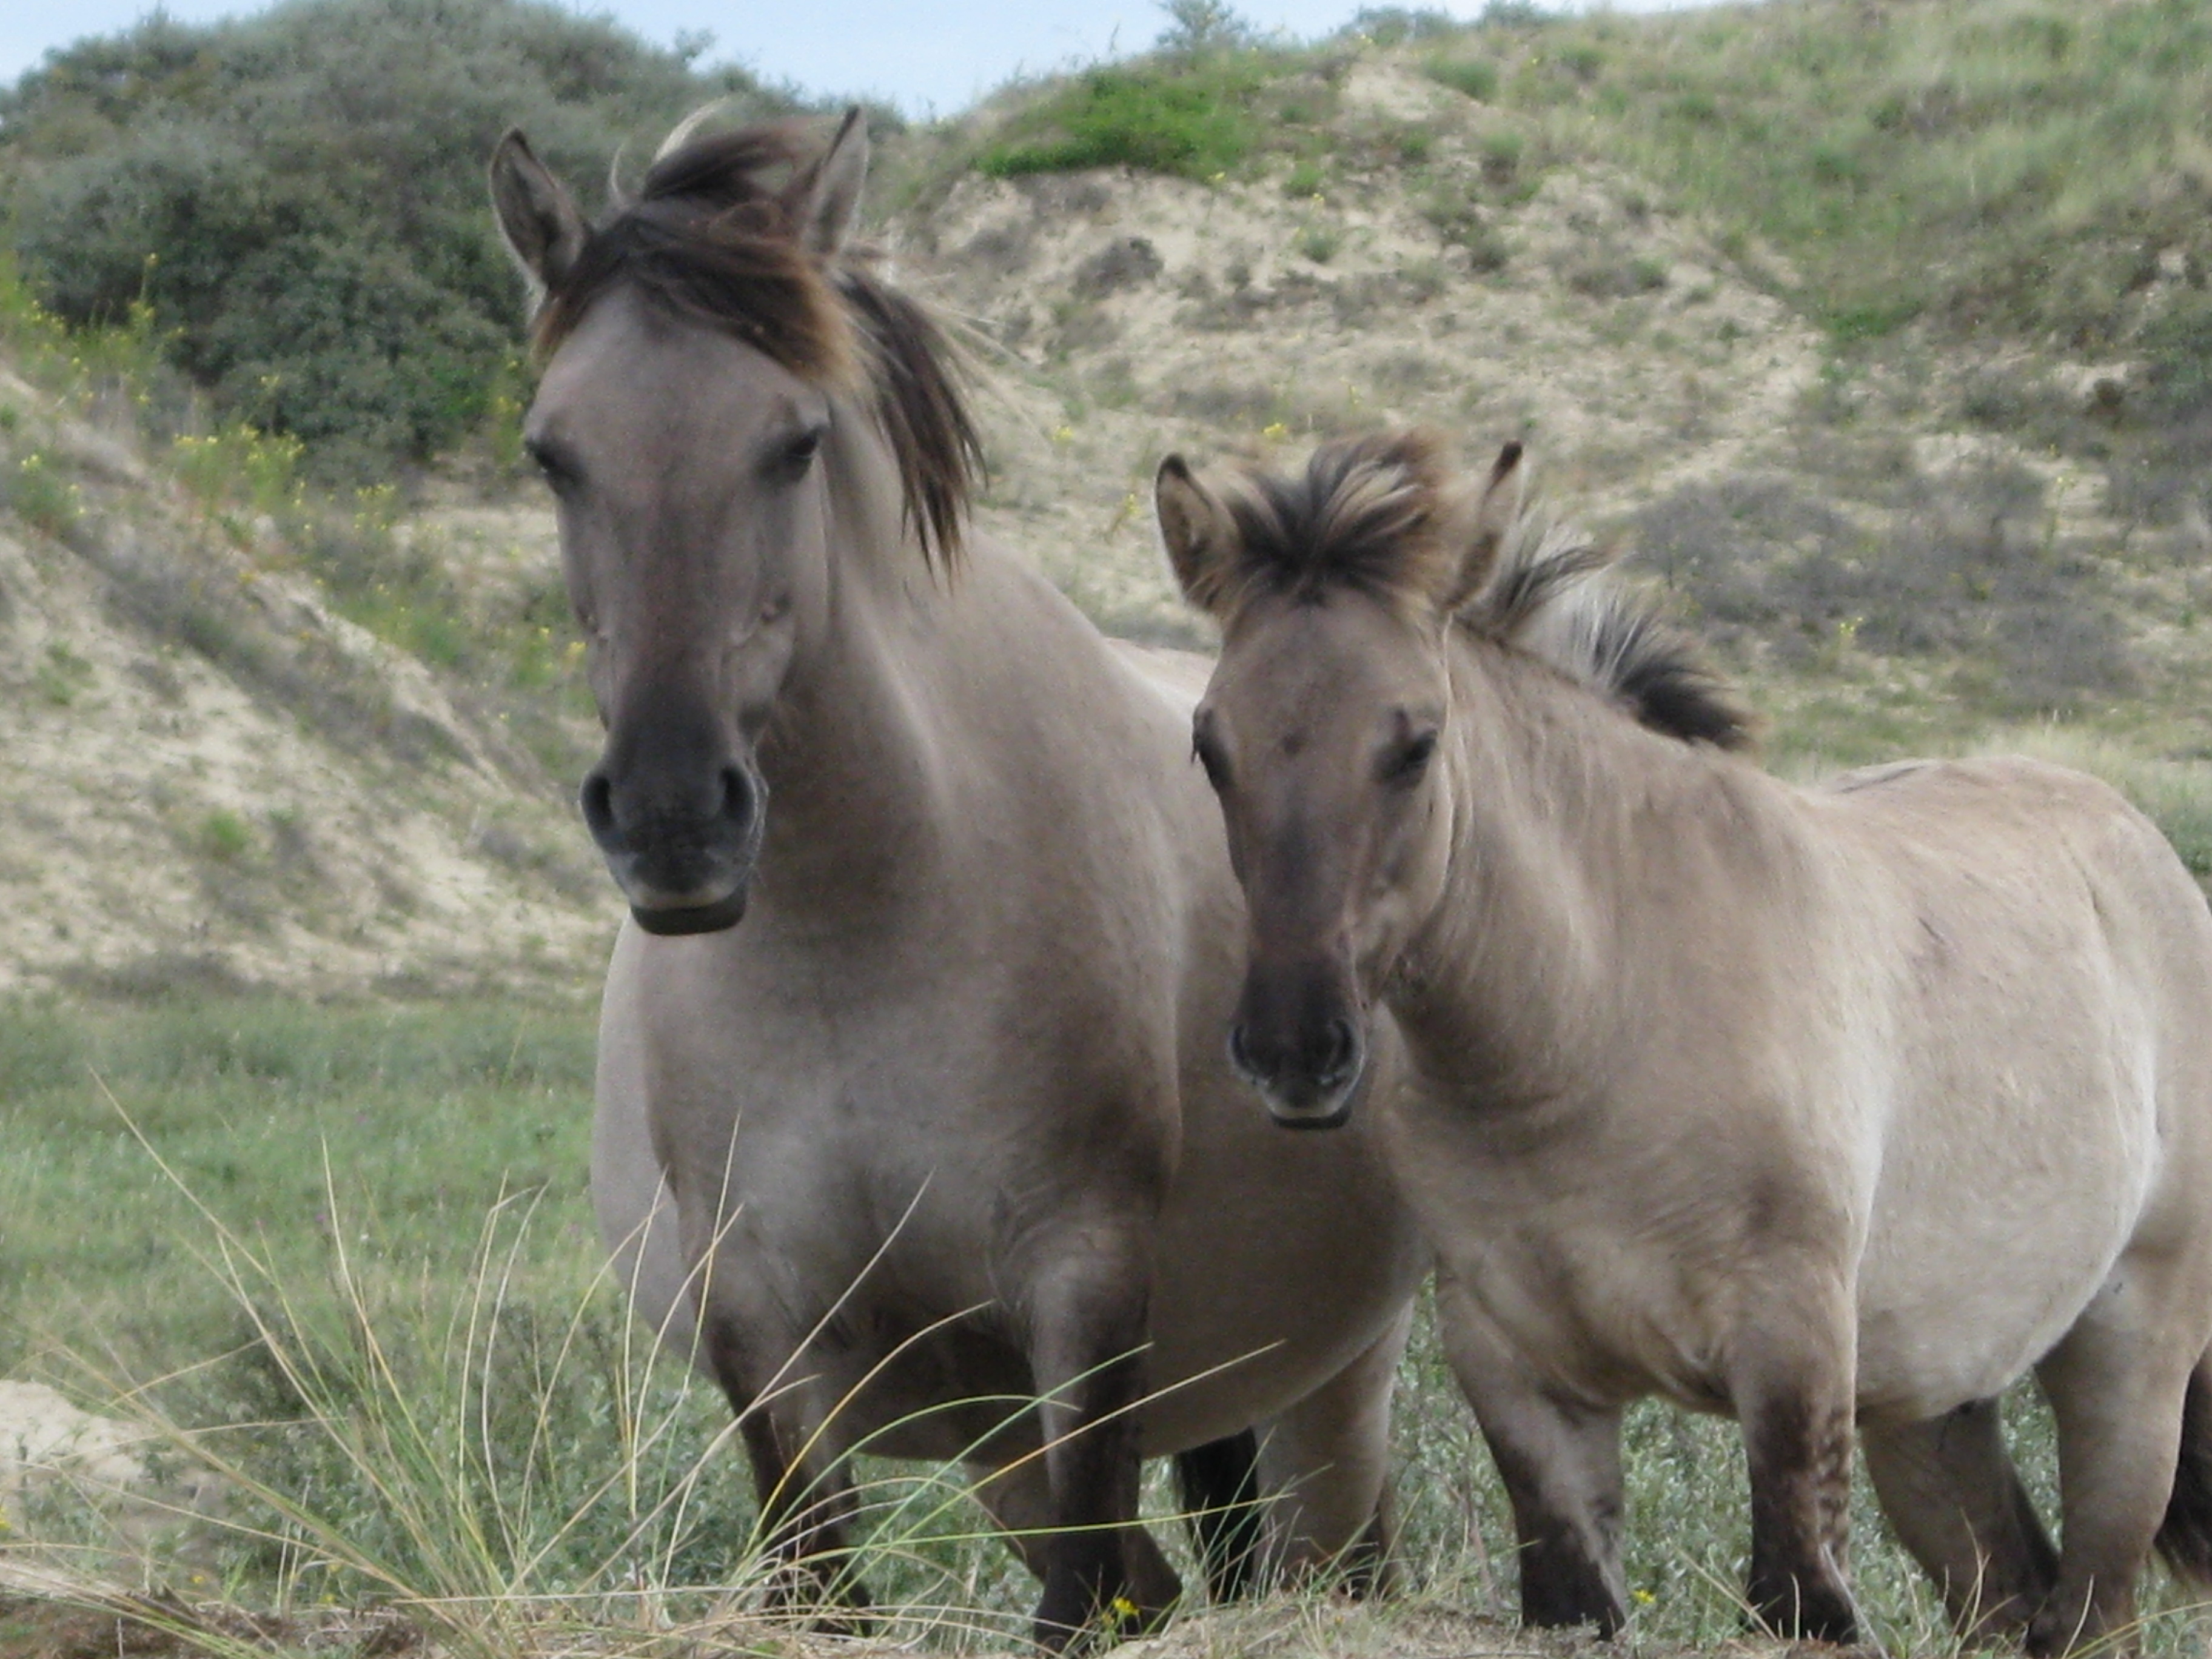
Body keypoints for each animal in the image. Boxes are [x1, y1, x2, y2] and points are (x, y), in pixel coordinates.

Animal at [486, 117, 1424, 1654]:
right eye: (554, 452)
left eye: (796, 441)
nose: (676, 818)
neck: (857, 931)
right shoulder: (767, 1335)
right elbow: (828, 1586)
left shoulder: (1084, 1292)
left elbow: (1079, 1599)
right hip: (1018, 1438)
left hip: (1319, 1381)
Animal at [1159, 431, 2212, 1659]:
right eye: (1209, 745)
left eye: (1414, 744)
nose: (1293, 1049)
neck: (1591, 1026)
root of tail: (2144, 848)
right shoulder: (1522, 1379)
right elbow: (1573, 1593)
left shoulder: (1791, 1355)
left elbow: (1797, 1596)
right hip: (1931, 1407)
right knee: (2008, 1591)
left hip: (2127, 1359)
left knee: (2092, 1596)